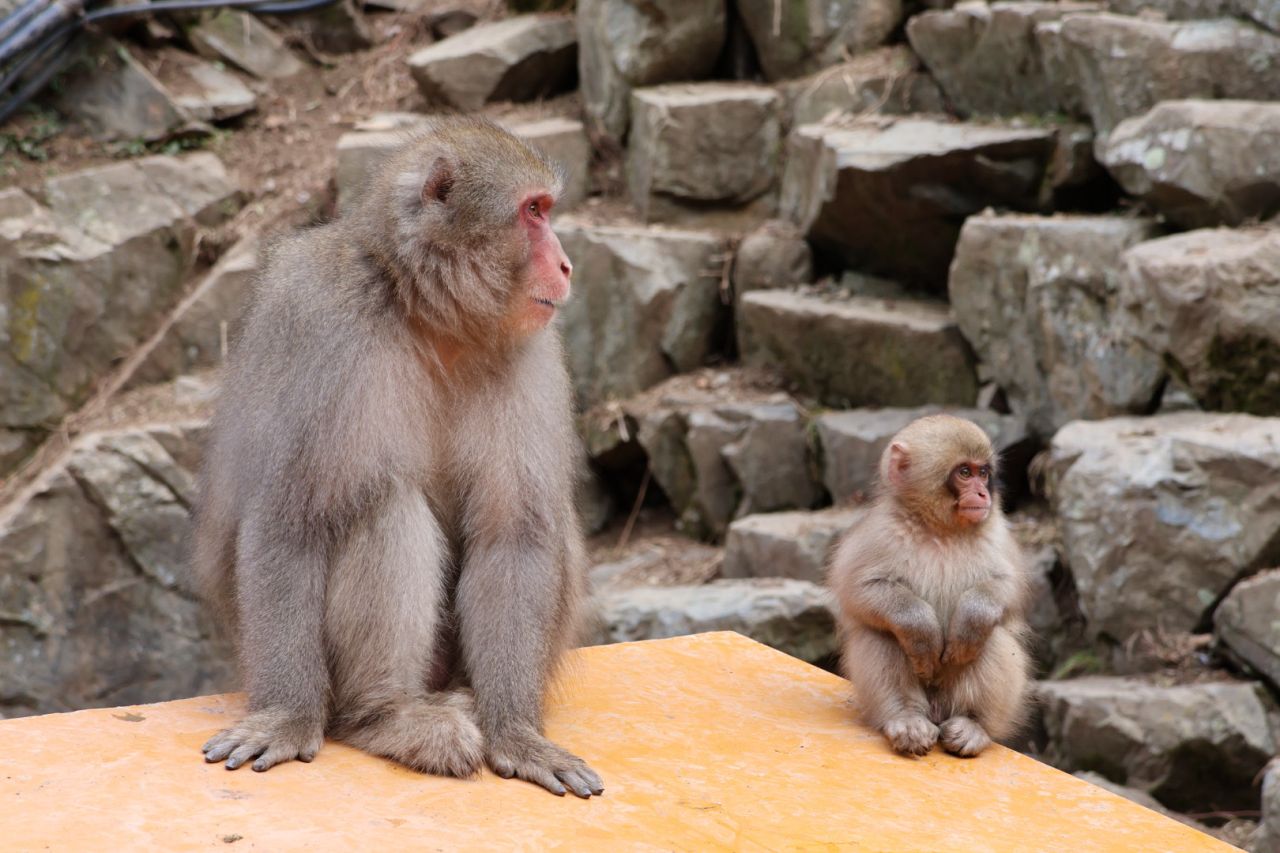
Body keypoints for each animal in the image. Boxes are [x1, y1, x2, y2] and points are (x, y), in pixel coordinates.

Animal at [190, 116, 603, 798]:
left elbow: (513, 532)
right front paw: (286, 716)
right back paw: (384, 715)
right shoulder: (324, 326)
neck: (429, 314)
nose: (567, 264)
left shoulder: (530, 352)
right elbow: (290, 521)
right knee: (383, 503)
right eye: (533, 212)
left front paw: (515, 732)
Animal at [827, 415, 1031, 758]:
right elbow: (858, 588)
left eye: (983, 473)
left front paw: (972, 617)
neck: (941, 529)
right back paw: (906, 718)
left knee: (992, 636)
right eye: (964, 473)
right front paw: (921, 630)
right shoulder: (881, 532)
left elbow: (1009, 588)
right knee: (882, 634)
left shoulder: (998, 534)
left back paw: (973, 724)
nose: (983, 495)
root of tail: (937, 710)